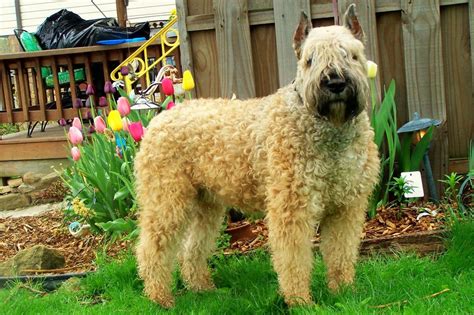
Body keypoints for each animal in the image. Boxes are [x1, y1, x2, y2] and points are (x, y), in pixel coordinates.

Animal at [135, 3, 380, 308]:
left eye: (351, 54)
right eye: (310, 60)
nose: (334, 82)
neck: (330, 132)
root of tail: (158, 119)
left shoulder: (346, 208)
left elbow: (341, 254)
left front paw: (344, 292)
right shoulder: (292, 209)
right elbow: (293, 260)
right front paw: (300, 301)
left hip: (206, 205)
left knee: (192, 248)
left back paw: (203, 289)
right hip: (167, 202)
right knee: (152, 248)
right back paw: (160, 298)